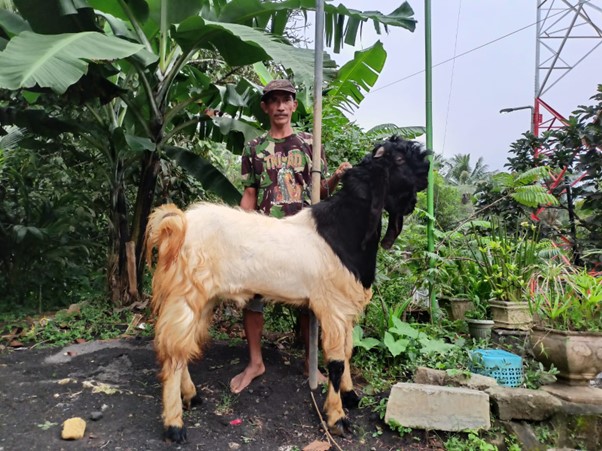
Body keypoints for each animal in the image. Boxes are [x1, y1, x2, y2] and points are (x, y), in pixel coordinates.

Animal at [144, 136, 426, 444]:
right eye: (399, 159)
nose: (426, 174)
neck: (343, 231)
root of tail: (177, 225)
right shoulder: (333, 307)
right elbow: (336, 362)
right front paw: (337, 418)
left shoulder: (345, 308)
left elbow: (348, 351)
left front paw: (350, 395)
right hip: (185, 294)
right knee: (173, 353)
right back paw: (174, 425)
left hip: (203, 299)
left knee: (182, 347)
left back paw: (191, 396)